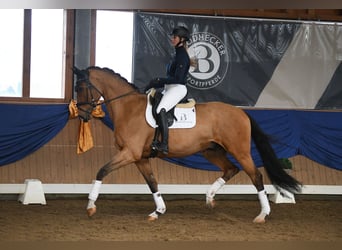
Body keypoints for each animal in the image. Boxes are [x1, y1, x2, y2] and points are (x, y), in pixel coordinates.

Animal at [73, 66, 300, 223]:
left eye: (81, 87)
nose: (82, 115)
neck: (128, 107)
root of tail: (241, 112)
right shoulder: (140, 157)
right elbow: (152, 183)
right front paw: (158, 211)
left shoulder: (130, 153)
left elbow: (102, 171)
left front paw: (90, 206)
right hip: (211, 151)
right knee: (231, 169)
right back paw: (209, 198)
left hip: (240, 151)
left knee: (256, 176)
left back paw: (263, 215)